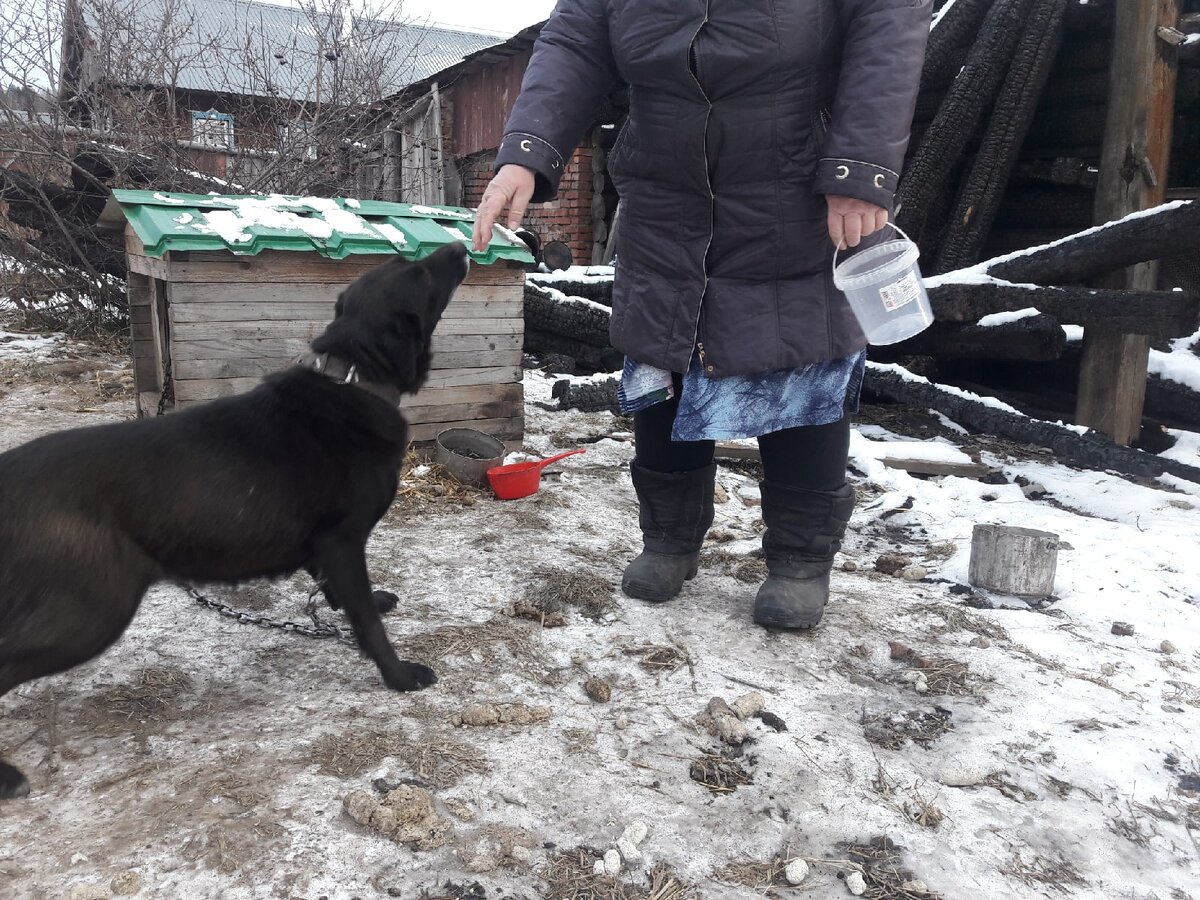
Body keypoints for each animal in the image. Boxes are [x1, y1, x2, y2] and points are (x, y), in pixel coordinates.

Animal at [0, 241, 470, 801]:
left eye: (408, 261)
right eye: (421, 273)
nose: (460, 246)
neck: (354, 379)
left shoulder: (325, 549)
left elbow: (341, 594)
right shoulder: (342, 541)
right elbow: (367, 622)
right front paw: (398, 675)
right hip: (91, 613)